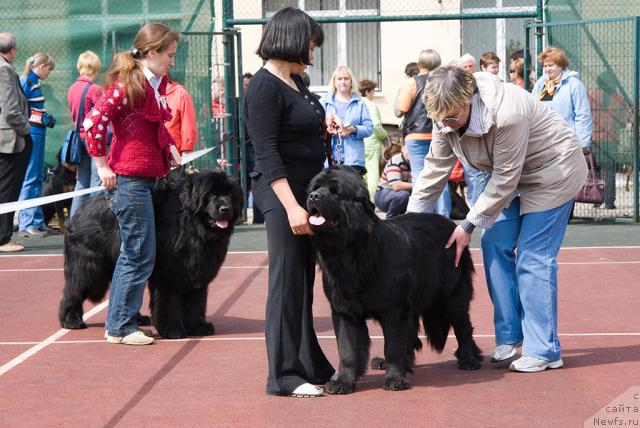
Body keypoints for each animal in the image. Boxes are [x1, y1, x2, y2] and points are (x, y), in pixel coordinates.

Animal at [58, 169, 244, 340]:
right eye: (211, 195)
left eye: (229, 194)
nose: (225, 209)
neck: (192, 227)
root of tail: (78, 211)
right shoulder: (169, 276)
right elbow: (170, 303)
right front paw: (173, 330)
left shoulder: (198, 273)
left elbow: (196, 302)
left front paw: (198, 327)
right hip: (90, 268)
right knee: (74, 289)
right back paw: (71, 320)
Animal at [308, 166, 482, 392]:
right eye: (315, 187)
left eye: (335, 192)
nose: (313, 196)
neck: (352, 252)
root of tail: (452, 225)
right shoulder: (345, 311)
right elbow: (347, 348)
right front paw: (343, 381)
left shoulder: (394, 310)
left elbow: (393, 345)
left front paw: (395, 379)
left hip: (451, 297)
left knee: (463, 326)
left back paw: (469, 359)